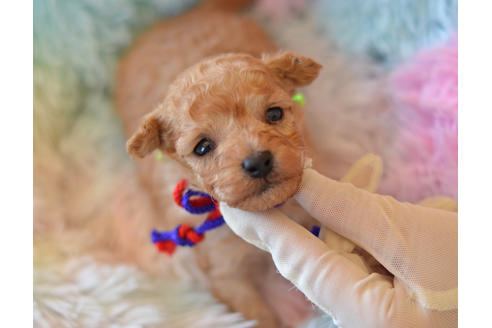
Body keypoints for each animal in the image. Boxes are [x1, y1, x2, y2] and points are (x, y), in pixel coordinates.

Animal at [116, 1, 322, 326]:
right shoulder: (226, 273)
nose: (258, 162)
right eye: (203, 147)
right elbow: (255, 315)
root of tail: (185, 16)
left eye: (274, 114)